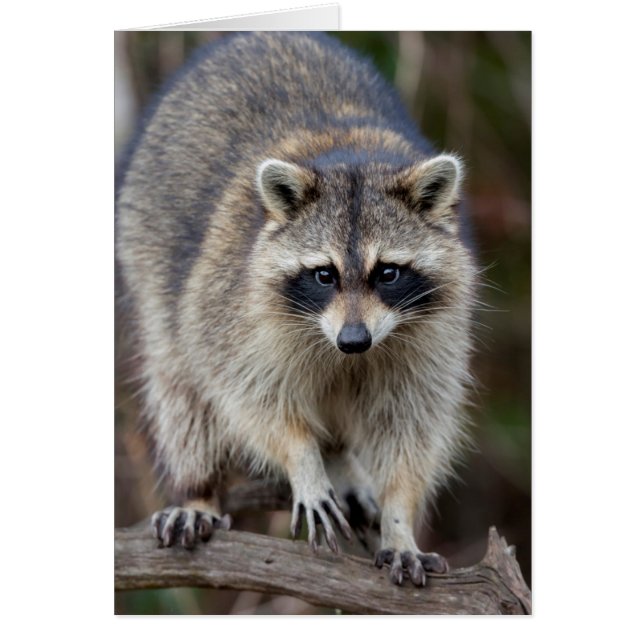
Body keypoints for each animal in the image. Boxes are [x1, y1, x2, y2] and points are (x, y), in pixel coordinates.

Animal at [116, 32, 476, 587]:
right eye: (324, 274)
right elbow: (250, 397)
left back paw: (342, 461)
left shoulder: (433, 335)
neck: (350, 156)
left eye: (388, 273)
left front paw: (400, 520)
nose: (354, 341)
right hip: (146, 248)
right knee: (181, 389)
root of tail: (258, 35)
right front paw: (302, 456)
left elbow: (411, 427)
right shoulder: (231, 307)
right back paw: (199, 489)